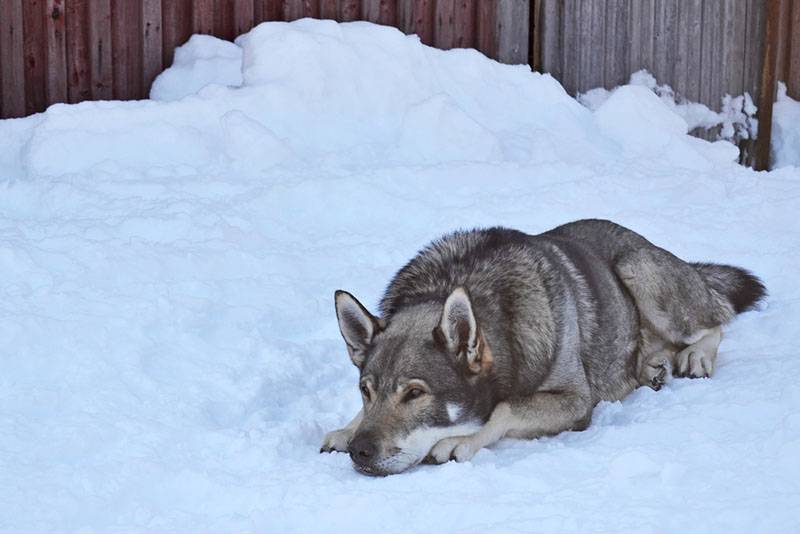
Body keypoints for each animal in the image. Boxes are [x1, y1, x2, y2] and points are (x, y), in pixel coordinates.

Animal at [322, 220, 764, 480]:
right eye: (366, 390)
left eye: (415, 393)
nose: (360, 452)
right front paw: (346, 429)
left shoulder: (575, 401)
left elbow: (504, 408)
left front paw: (461, 440)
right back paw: (651, 367)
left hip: (639, 271)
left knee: (714, 323)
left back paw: (695, 356)